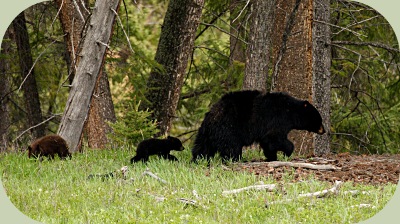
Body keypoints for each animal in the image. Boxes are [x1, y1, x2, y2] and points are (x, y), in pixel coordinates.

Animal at [192, 90, 326, 162]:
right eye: (319, 120)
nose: (324, 131)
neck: (291, 111)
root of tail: (212, 114)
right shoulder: (277, 120)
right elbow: (274, 138)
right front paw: (287, 151)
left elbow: (267, 142)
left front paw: (272, 157)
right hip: (229, 128)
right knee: (231, 147)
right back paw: (236, 159)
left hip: (206, 133)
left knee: (201, 147)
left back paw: (198, 160)